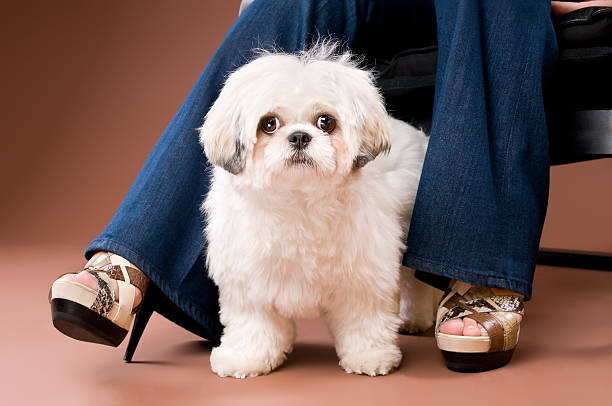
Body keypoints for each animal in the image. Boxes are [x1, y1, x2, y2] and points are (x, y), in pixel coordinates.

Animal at [200, 43, 440, 378]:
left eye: (326, 122)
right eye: (269, 124)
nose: (300, 136)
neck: (299, 199)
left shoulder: (364, 273)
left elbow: (364, 319)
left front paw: (370, 356)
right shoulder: (250, 279)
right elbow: (254, 324)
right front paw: (246, 357)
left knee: (414, 282)